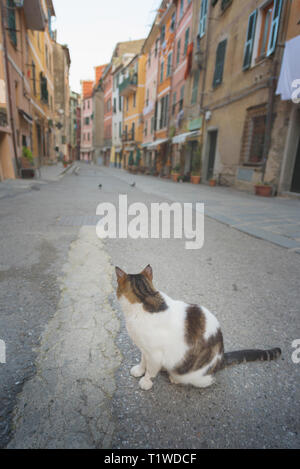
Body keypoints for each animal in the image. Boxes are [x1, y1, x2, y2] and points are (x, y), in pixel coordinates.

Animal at [115, 266, 282, 390]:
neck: (146, 297)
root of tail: (221, 357)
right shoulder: (145, 348)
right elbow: (144, 361)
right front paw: (139, 370)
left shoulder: (155, 353)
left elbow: (150, 369)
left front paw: (146, 381)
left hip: (193, 375)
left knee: (208, 380)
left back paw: (175, 378)